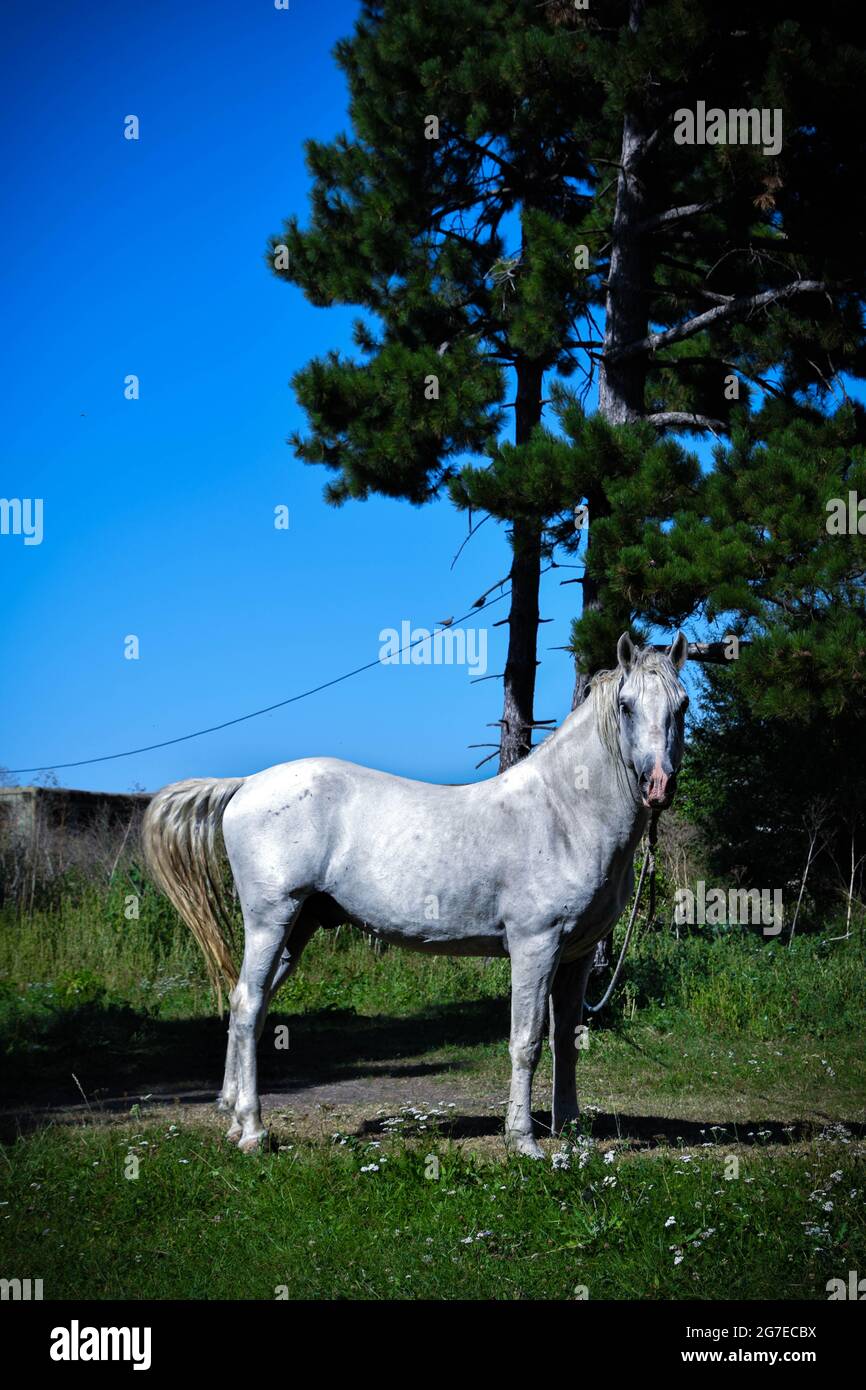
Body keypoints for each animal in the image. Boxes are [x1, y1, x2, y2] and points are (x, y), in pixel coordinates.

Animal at [142, 631, 689, 1157]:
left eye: (681, 705)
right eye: (626, 706)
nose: (658, 785)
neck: (562, 811)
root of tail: (246, 784)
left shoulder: (575, 956)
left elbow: (566, 1042)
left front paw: (573, 1132)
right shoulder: (536, 946)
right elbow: (526, 1041)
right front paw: (523, 1140)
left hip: (299, 926)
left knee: (246, 1008)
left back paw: (234, 1119)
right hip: (270, 919)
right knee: (250, 1004)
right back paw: (254, 1131)